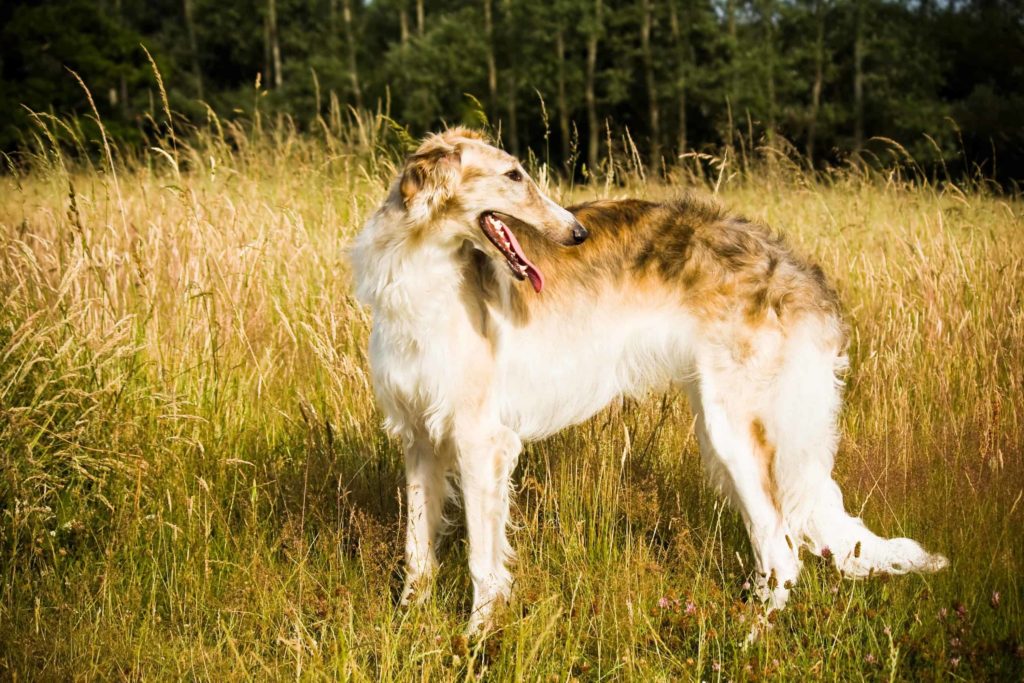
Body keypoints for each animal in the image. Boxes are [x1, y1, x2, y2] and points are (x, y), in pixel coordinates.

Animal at [350, 126, 942, 630]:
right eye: (514, 175)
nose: (576, 232)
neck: (420, 273)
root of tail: (800, 272)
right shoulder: (418, 438)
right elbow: (417, 550)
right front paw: (408, 623)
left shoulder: (481, 440)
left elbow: (482, 561)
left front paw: (476, 637)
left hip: (736, 432)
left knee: (783, 552)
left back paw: (744, 641)